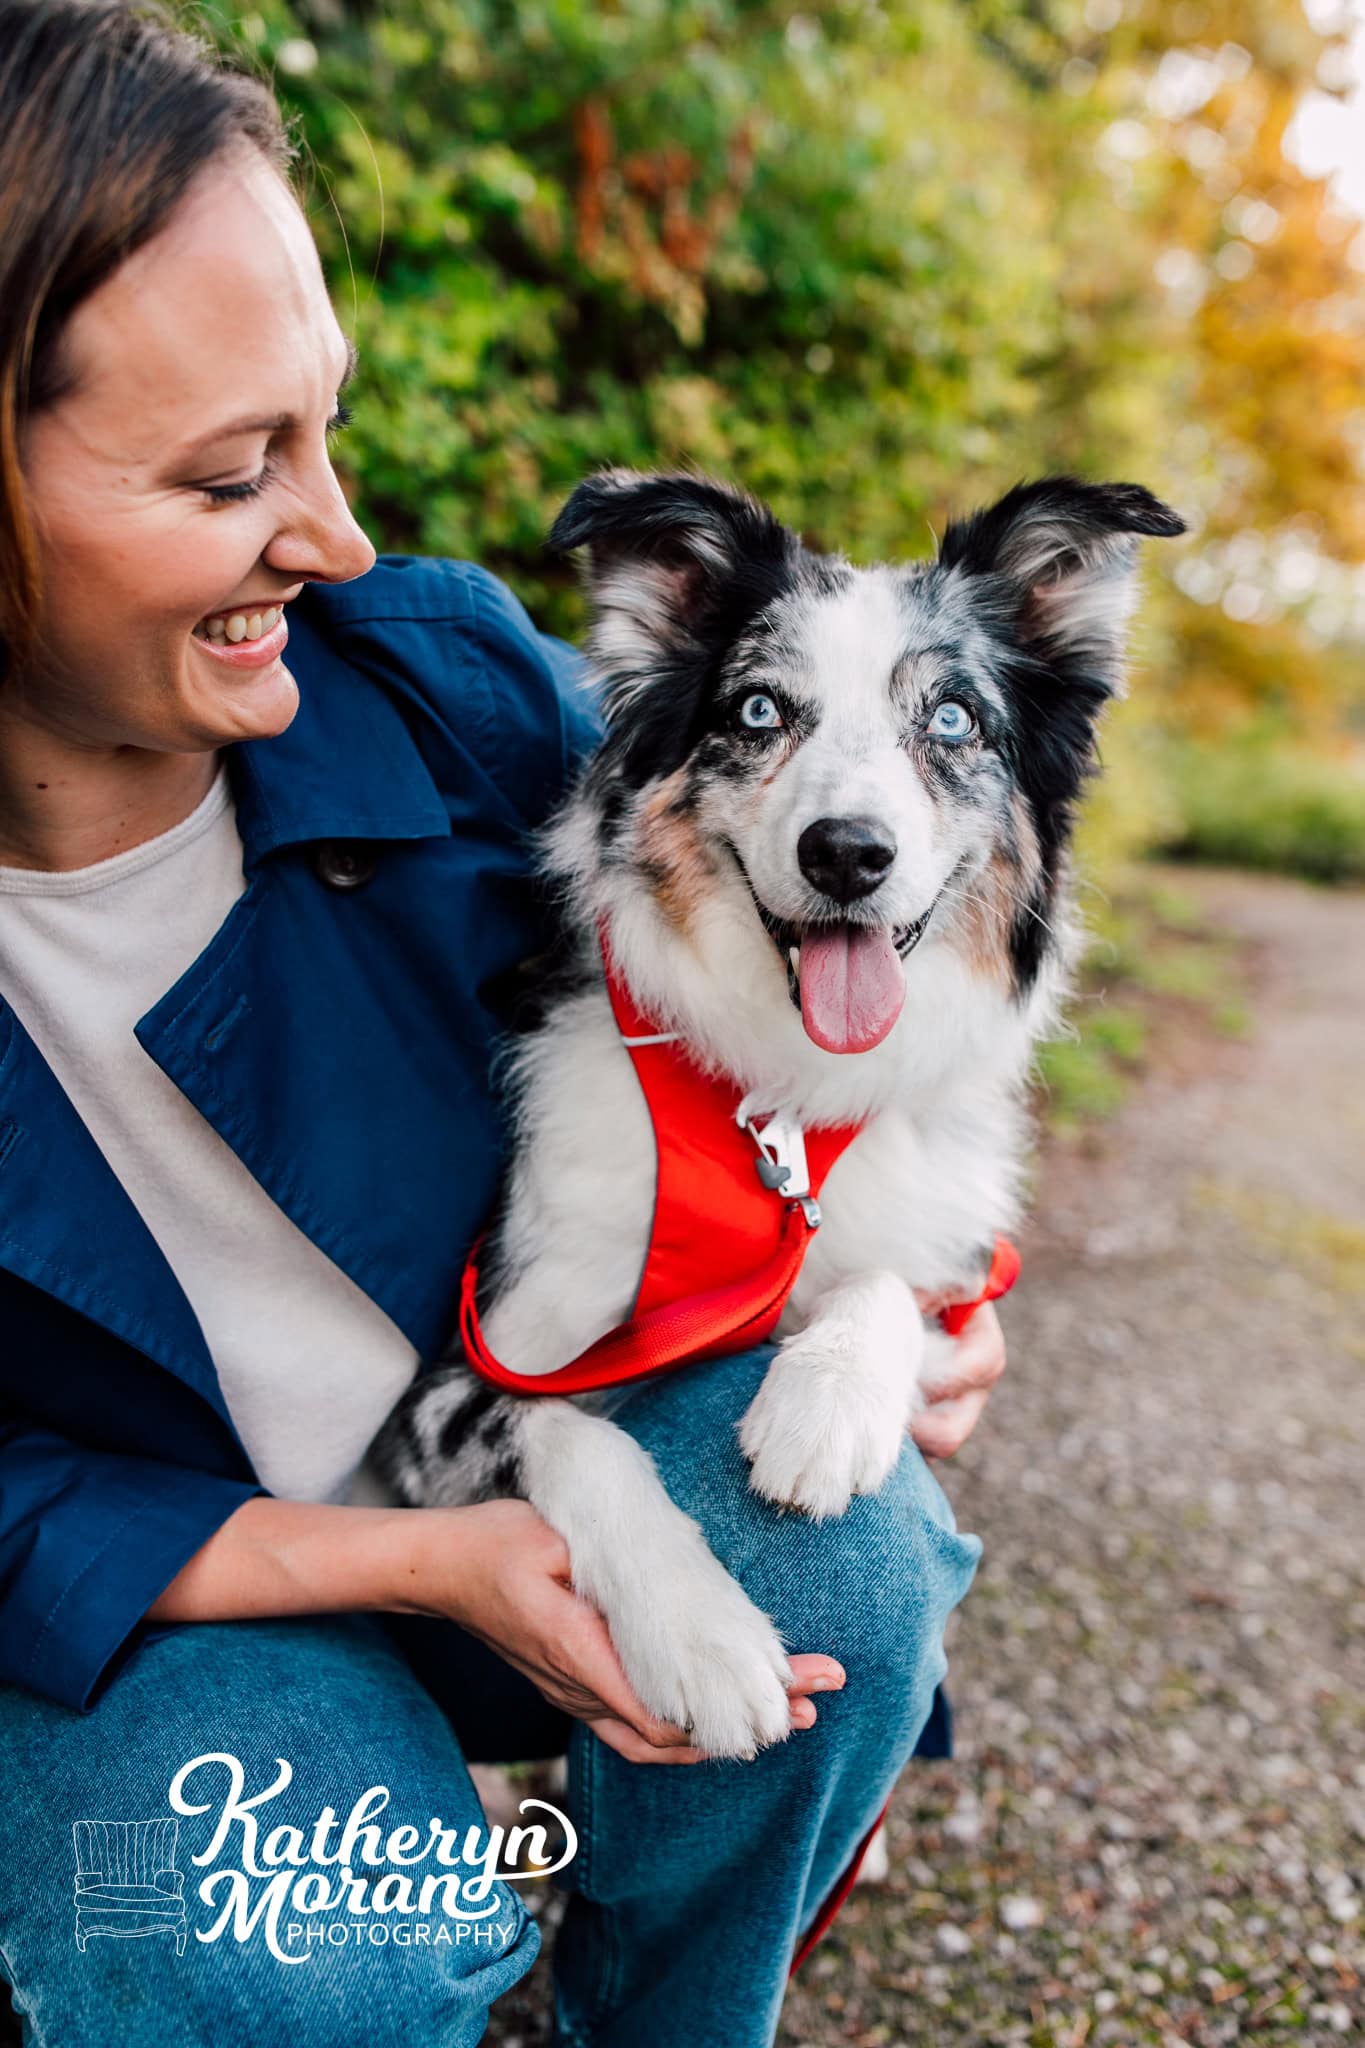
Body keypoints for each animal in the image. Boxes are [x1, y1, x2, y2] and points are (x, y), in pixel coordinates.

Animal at [370, 468, 1186, 1761]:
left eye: (952, 720)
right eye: (758, 709)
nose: (849, 852)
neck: (784, 1105)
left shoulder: (951, 1284)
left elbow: (883, 1283)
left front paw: (827, 1401)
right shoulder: (452, 1387)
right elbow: (572, 1432)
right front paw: (698, 1634)